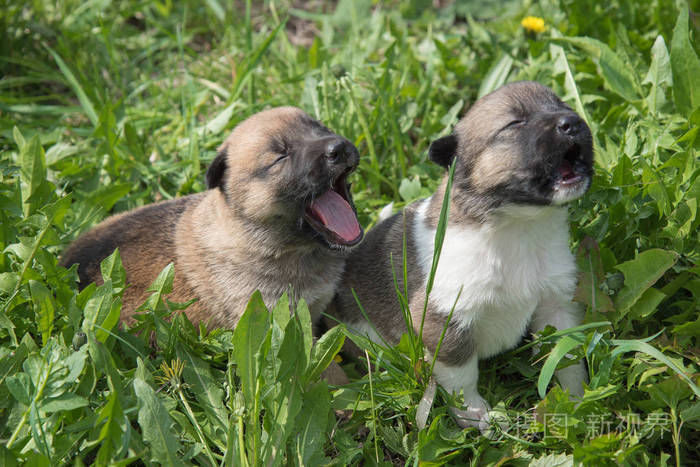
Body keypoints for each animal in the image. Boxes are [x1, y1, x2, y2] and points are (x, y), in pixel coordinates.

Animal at [330, 81, 592, 432]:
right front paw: (475, 414)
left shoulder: (557, 305)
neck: (517, 225)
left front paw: (575, 401)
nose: (573, 122)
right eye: (515, 123)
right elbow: (461, 375)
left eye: (563, 105)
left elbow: (566, 356)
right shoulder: (445, 320)